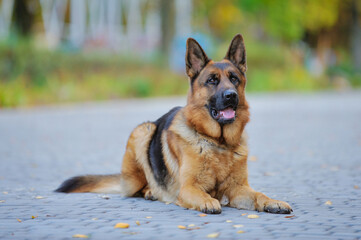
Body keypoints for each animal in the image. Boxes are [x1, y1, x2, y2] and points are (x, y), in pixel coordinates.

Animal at [57, 33, 292, 214]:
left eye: (234, 79)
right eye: (212, 80)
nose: (231, 96)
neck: (218, 143)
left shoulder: (237, 188)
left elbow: (259, 194)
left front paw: (273, 201)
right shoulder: (188, 187)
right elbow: (201, 194)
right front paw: (208, 201)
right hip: (143, 131)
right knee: (139, 187)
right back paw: (151, 192)